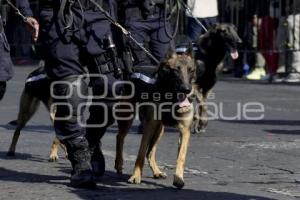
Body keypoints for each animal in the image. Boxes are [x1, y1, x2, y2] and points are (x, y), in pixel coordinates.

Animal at [113, 47, 196, 188]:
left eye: (191, 70)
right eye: (176, 70)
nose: (186, 89)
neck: (171, 97)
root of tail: (133, 69)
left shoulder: (185, 130)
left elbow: (181, 156)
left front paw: (179, 178)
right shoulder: (149, 126)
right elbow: (140, 153)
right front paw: (136, 176)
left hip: (159, 130)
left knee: (150, 152)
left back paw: (157, 171)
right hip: (127, 118)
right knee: (120, 137)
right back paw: (119, 163)